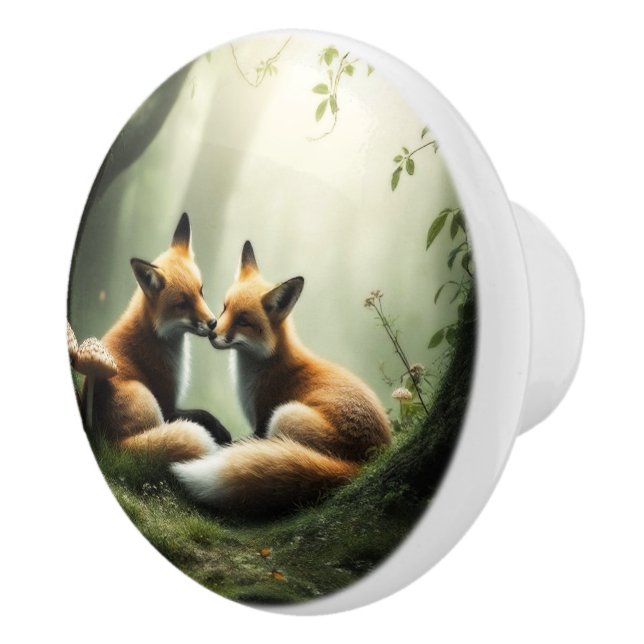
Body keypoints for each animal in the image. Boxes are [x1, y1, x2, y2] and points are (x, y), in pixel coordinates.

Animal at [87, 213, 231, 462]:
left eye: (200, 291)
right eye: (182, 304)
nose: (213, 323)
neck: (155, 335)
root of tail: (110, 445)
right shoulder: (168, 403)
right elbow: (203, 414)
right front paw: (221, 432)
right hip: (150, 403)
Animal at [171, 241, 391, 514]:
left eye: (243, 321)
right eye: (225, 308)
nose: (212, 333)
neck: (264, 365)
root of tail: (362, 466)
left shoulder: (263, 420)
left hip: (285, 415)